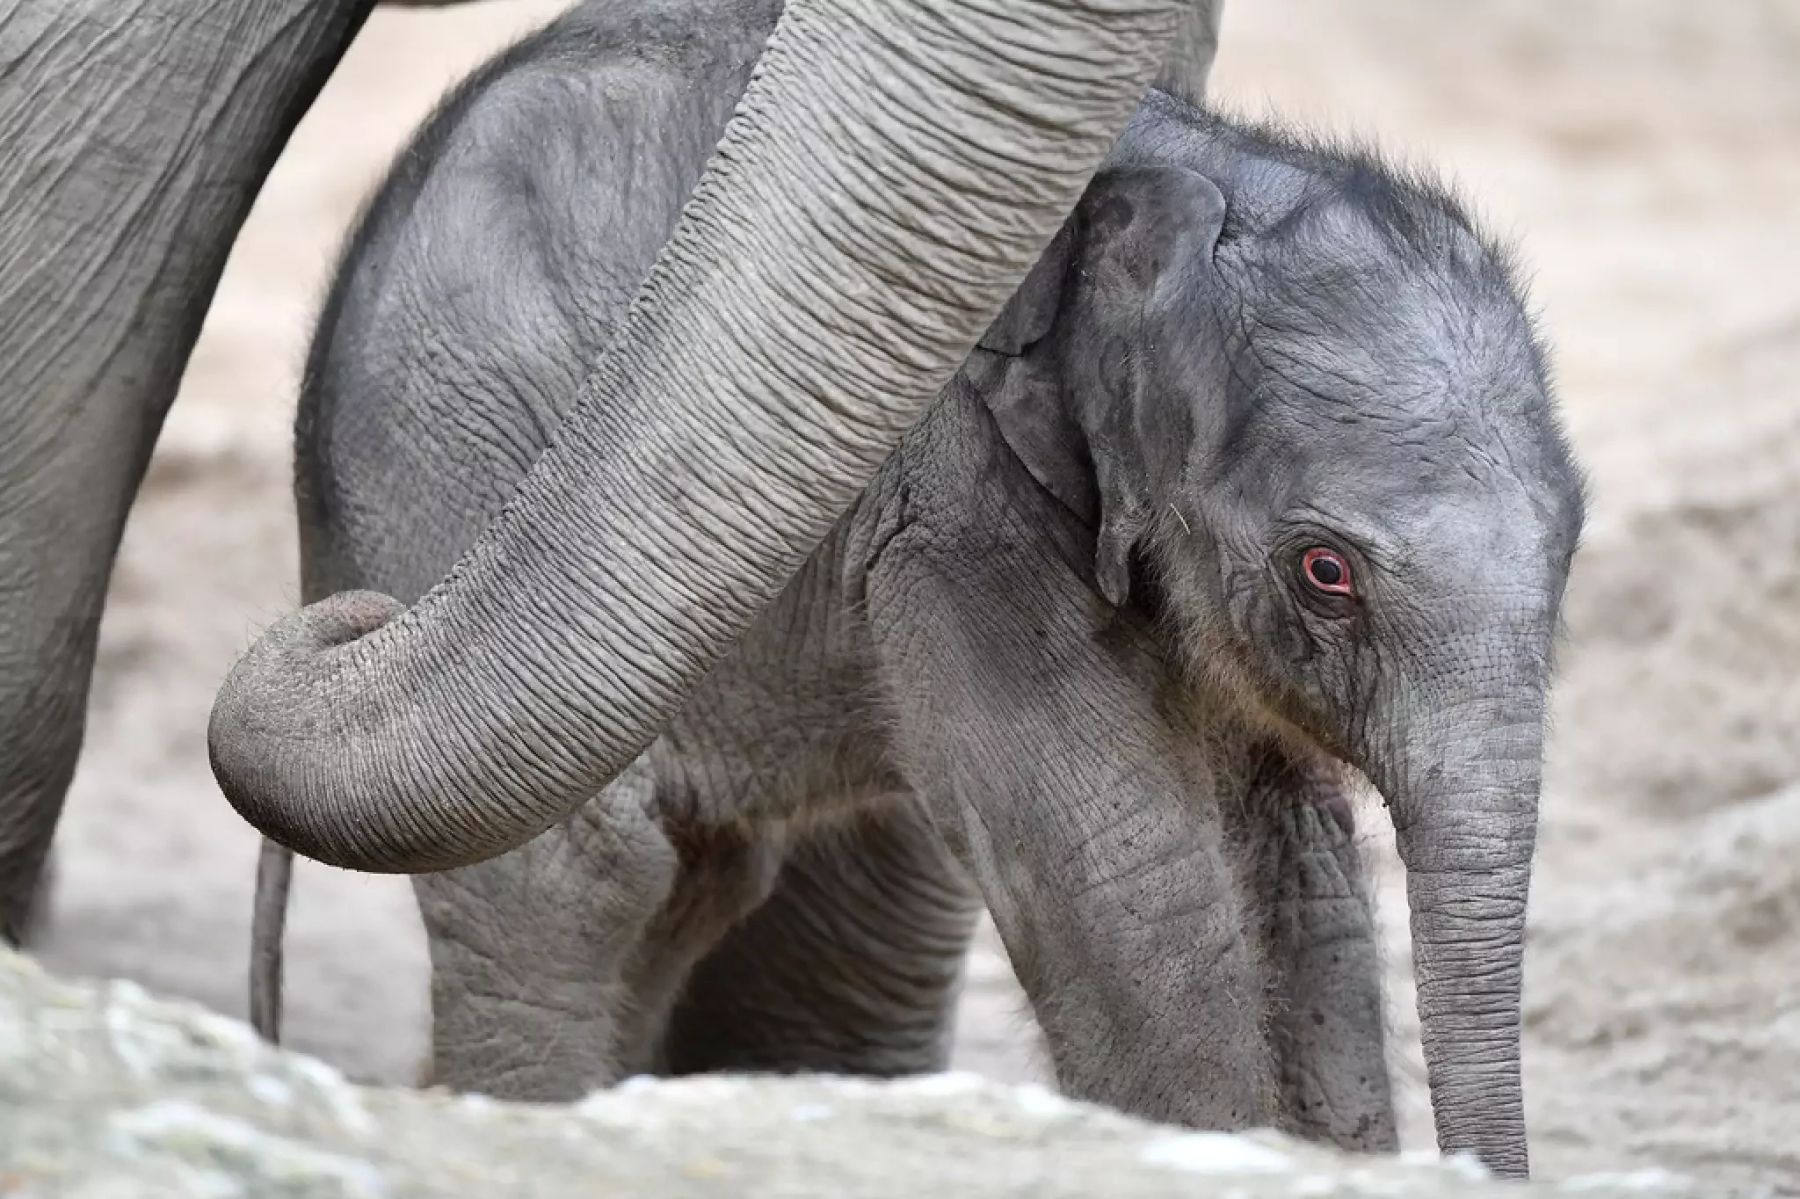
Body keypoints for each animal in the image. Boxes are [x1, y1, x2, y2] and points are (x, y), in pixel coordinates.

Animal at [231, 0, 1581, 1180]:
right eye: (1326, 570)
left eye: (1573, 538)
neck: (1196, 177)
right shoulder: (950, 513)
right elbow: (1118, 865)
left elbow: (1298, 873)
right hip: (438, 463)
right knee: (571, 876)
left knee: (683, 882)